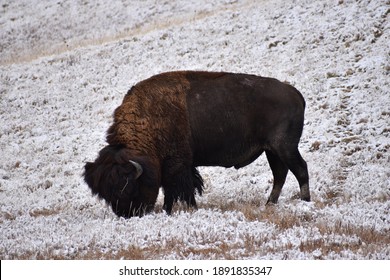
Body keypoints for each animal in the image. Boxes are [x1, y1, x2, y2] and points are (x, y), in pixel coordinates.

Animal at [84, 71, 310, 218]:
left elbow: (177, 189)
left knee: (300, 169)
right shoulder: (182, 166)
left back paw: (305, 202)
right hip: (271, 151)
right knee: (280, 174)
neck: (147, 122)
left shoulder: (176, 165)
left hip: (285, 148)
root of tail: (294, 93)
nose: (127, 215)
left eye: (127, 187)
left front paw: (175, 210)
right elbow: (183, 188)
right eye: (106, 194)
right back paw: (269, 204)